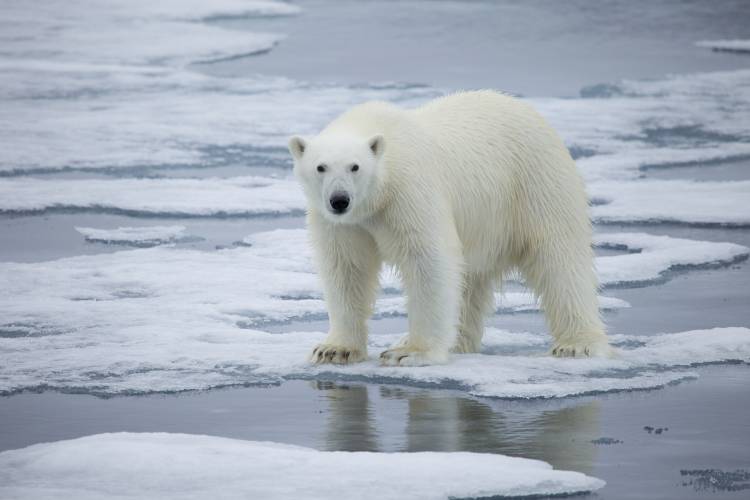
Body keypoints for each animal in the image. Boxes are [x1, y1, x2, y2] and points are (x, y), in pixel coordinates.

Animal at [288, 90, 612, 366]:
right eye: (321, 167)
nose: (339, 200)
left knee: (559, 259)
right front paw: (334, 349)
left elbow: (428, 260)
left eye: (355, 167)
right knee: (470, 281)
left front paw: (410, 352)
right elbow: (346, 268)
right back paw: (457, 341)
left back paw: (576, 344)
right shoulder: (342, 223)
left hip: (535, 184)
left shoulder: (409, 192)